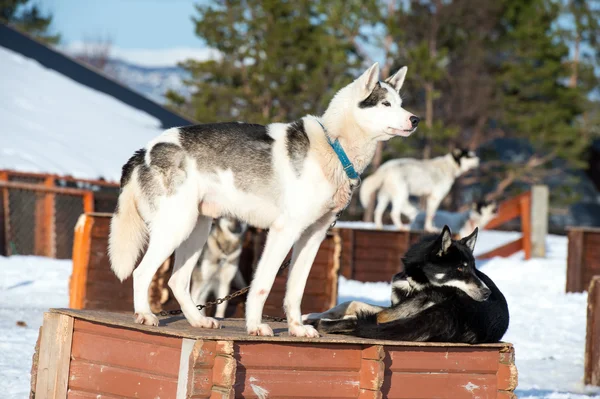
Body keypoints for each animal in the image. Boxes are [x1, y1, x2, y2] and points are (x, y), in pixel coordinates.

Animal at [108, 62, 418, 338]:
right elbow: (263, 285)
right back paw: (145, 314)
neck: (334, 146)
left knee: (177, 281)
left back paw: (198, 320)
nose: (415, 119)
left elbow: (295, 291)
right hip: (177, 229)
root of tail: (145, 150)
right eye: (385, 104)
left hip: (196, 231)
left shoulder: (313, 237)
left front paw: (296, 328)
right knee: (141, 273)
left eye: (401, 103)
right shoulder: (284, 232)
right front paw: (255, 326)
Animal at [302, 227, 508, 346]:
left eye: (473, 268)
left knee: (366, 321)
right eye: (460, 268)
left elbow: (356, 308)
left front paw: (313, 318)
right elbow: (349, 303)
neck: (416, 280)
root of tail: (457, 313)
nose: (487, 292)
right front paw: (312, 314)